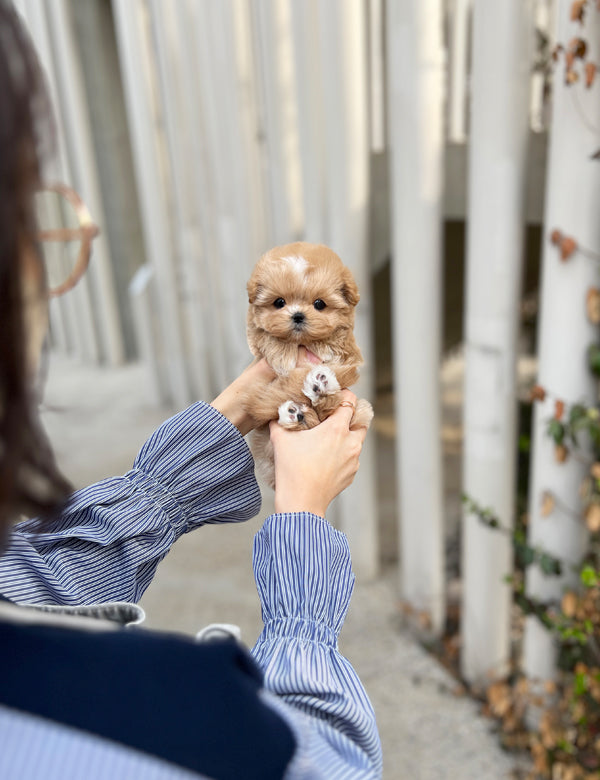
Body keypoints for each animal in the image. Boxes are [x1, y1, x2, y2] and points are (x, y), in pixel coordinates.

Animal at [243, 242, 372, 488]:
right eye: (279, 302)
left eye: (319, 304)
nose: (298, 315)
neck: (301, 341)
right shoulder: (256, 334)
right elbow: (267, 336)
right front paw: (282, 354)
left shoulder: (348, 350)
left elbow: (337, 341)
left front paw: (324, 346)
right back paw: (295, 412)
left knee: (325, 409)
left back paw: (320, 386)